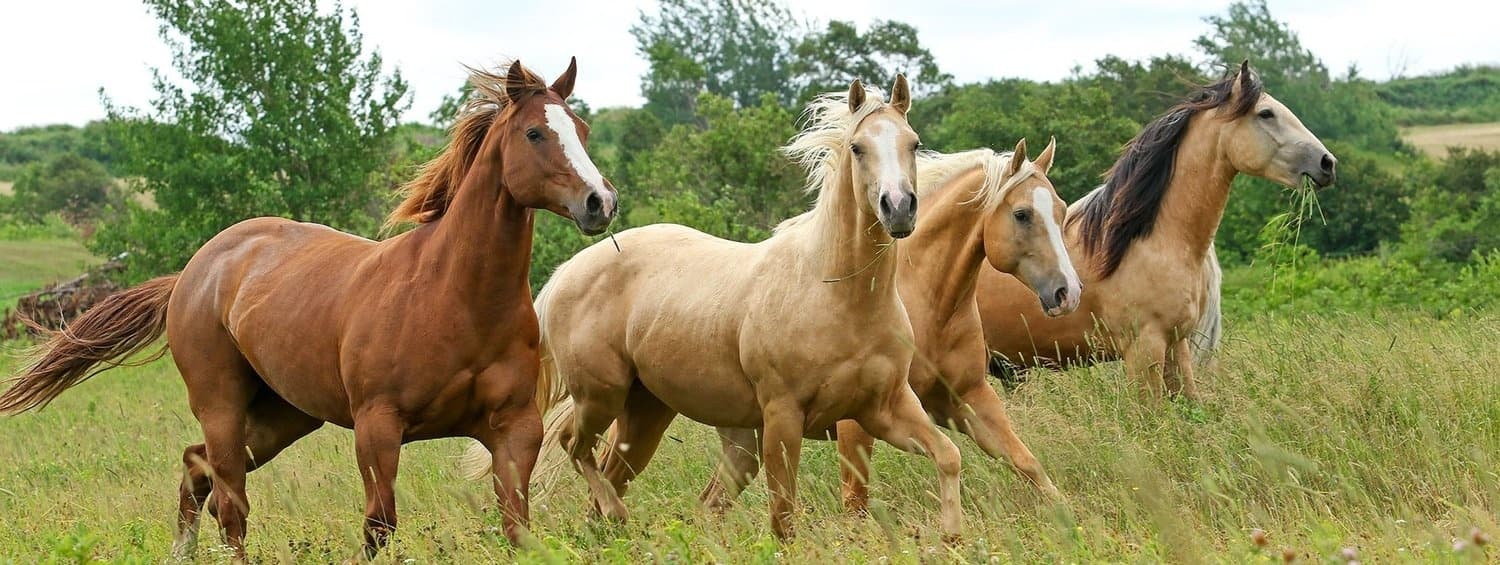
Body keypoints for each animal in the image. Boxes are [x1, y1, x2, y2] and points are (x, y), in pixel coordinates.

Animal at [0, 58, 616, 561]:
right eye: (535, 132)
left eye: (582, 130)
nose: (600, 202)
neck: (455, 299)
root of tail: (192, 273)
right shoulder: (377, 427)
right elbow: (379, 527)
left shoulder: (515, 429)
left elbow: (517, 528)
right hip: (222, 406)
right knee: (230, 505)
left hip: (283, 416)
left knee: (196, 469)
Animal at [696, 138, 1083, 516]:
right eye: (1022, 214)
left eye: (1061, 209)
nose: (1068, 292)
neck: (926, 303)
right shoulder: (858, 422)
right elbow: (855, 501)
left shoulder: (968, 398)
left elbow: (1028, 464)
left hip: (750, 439)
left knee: (710, 502)